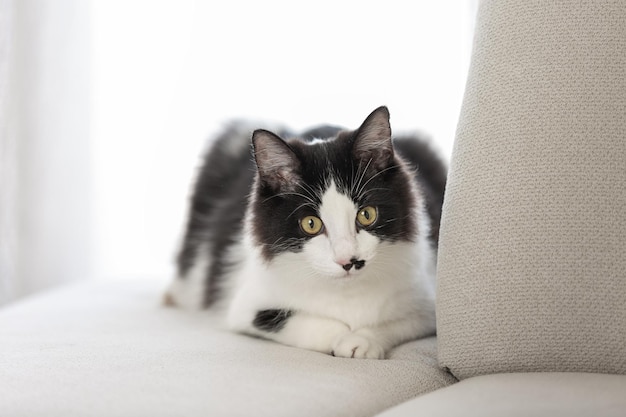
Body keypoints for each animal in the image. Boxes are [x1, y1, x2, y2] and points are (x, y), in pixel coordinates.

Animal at [163, 106, 446, 358]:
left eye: (366, 215)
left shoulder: (428, 301)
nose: (348, 261)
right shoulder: (245, 306)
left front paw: (363, 340)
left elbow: (401, 321)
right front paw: (343, 337)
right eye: (311, 224)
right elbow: (296, 322)